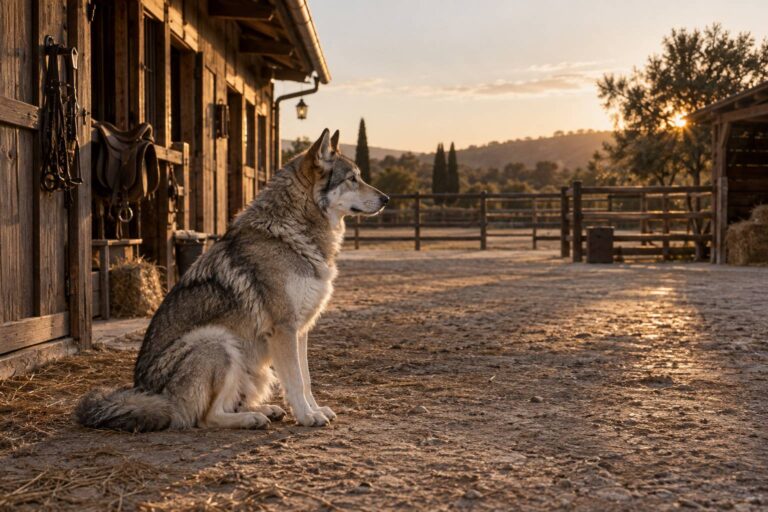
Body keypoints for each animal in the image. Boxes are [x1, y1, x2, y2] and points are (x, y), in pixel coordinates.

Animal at [76, 129, 389, 431]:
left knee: (228, 405)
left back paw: (264, 411)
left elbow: (306, 379)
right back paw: (251, 419)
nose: (386, 199)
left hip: (254, 367)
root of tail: (155, 397)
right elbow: (297, 381)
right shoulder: (284, 328)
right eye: (352, 178)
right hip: (219, 343)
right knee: (204, 418)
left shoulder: (301, 329)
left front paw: (314, 410)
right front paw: (306, 417)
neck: (293, 232)